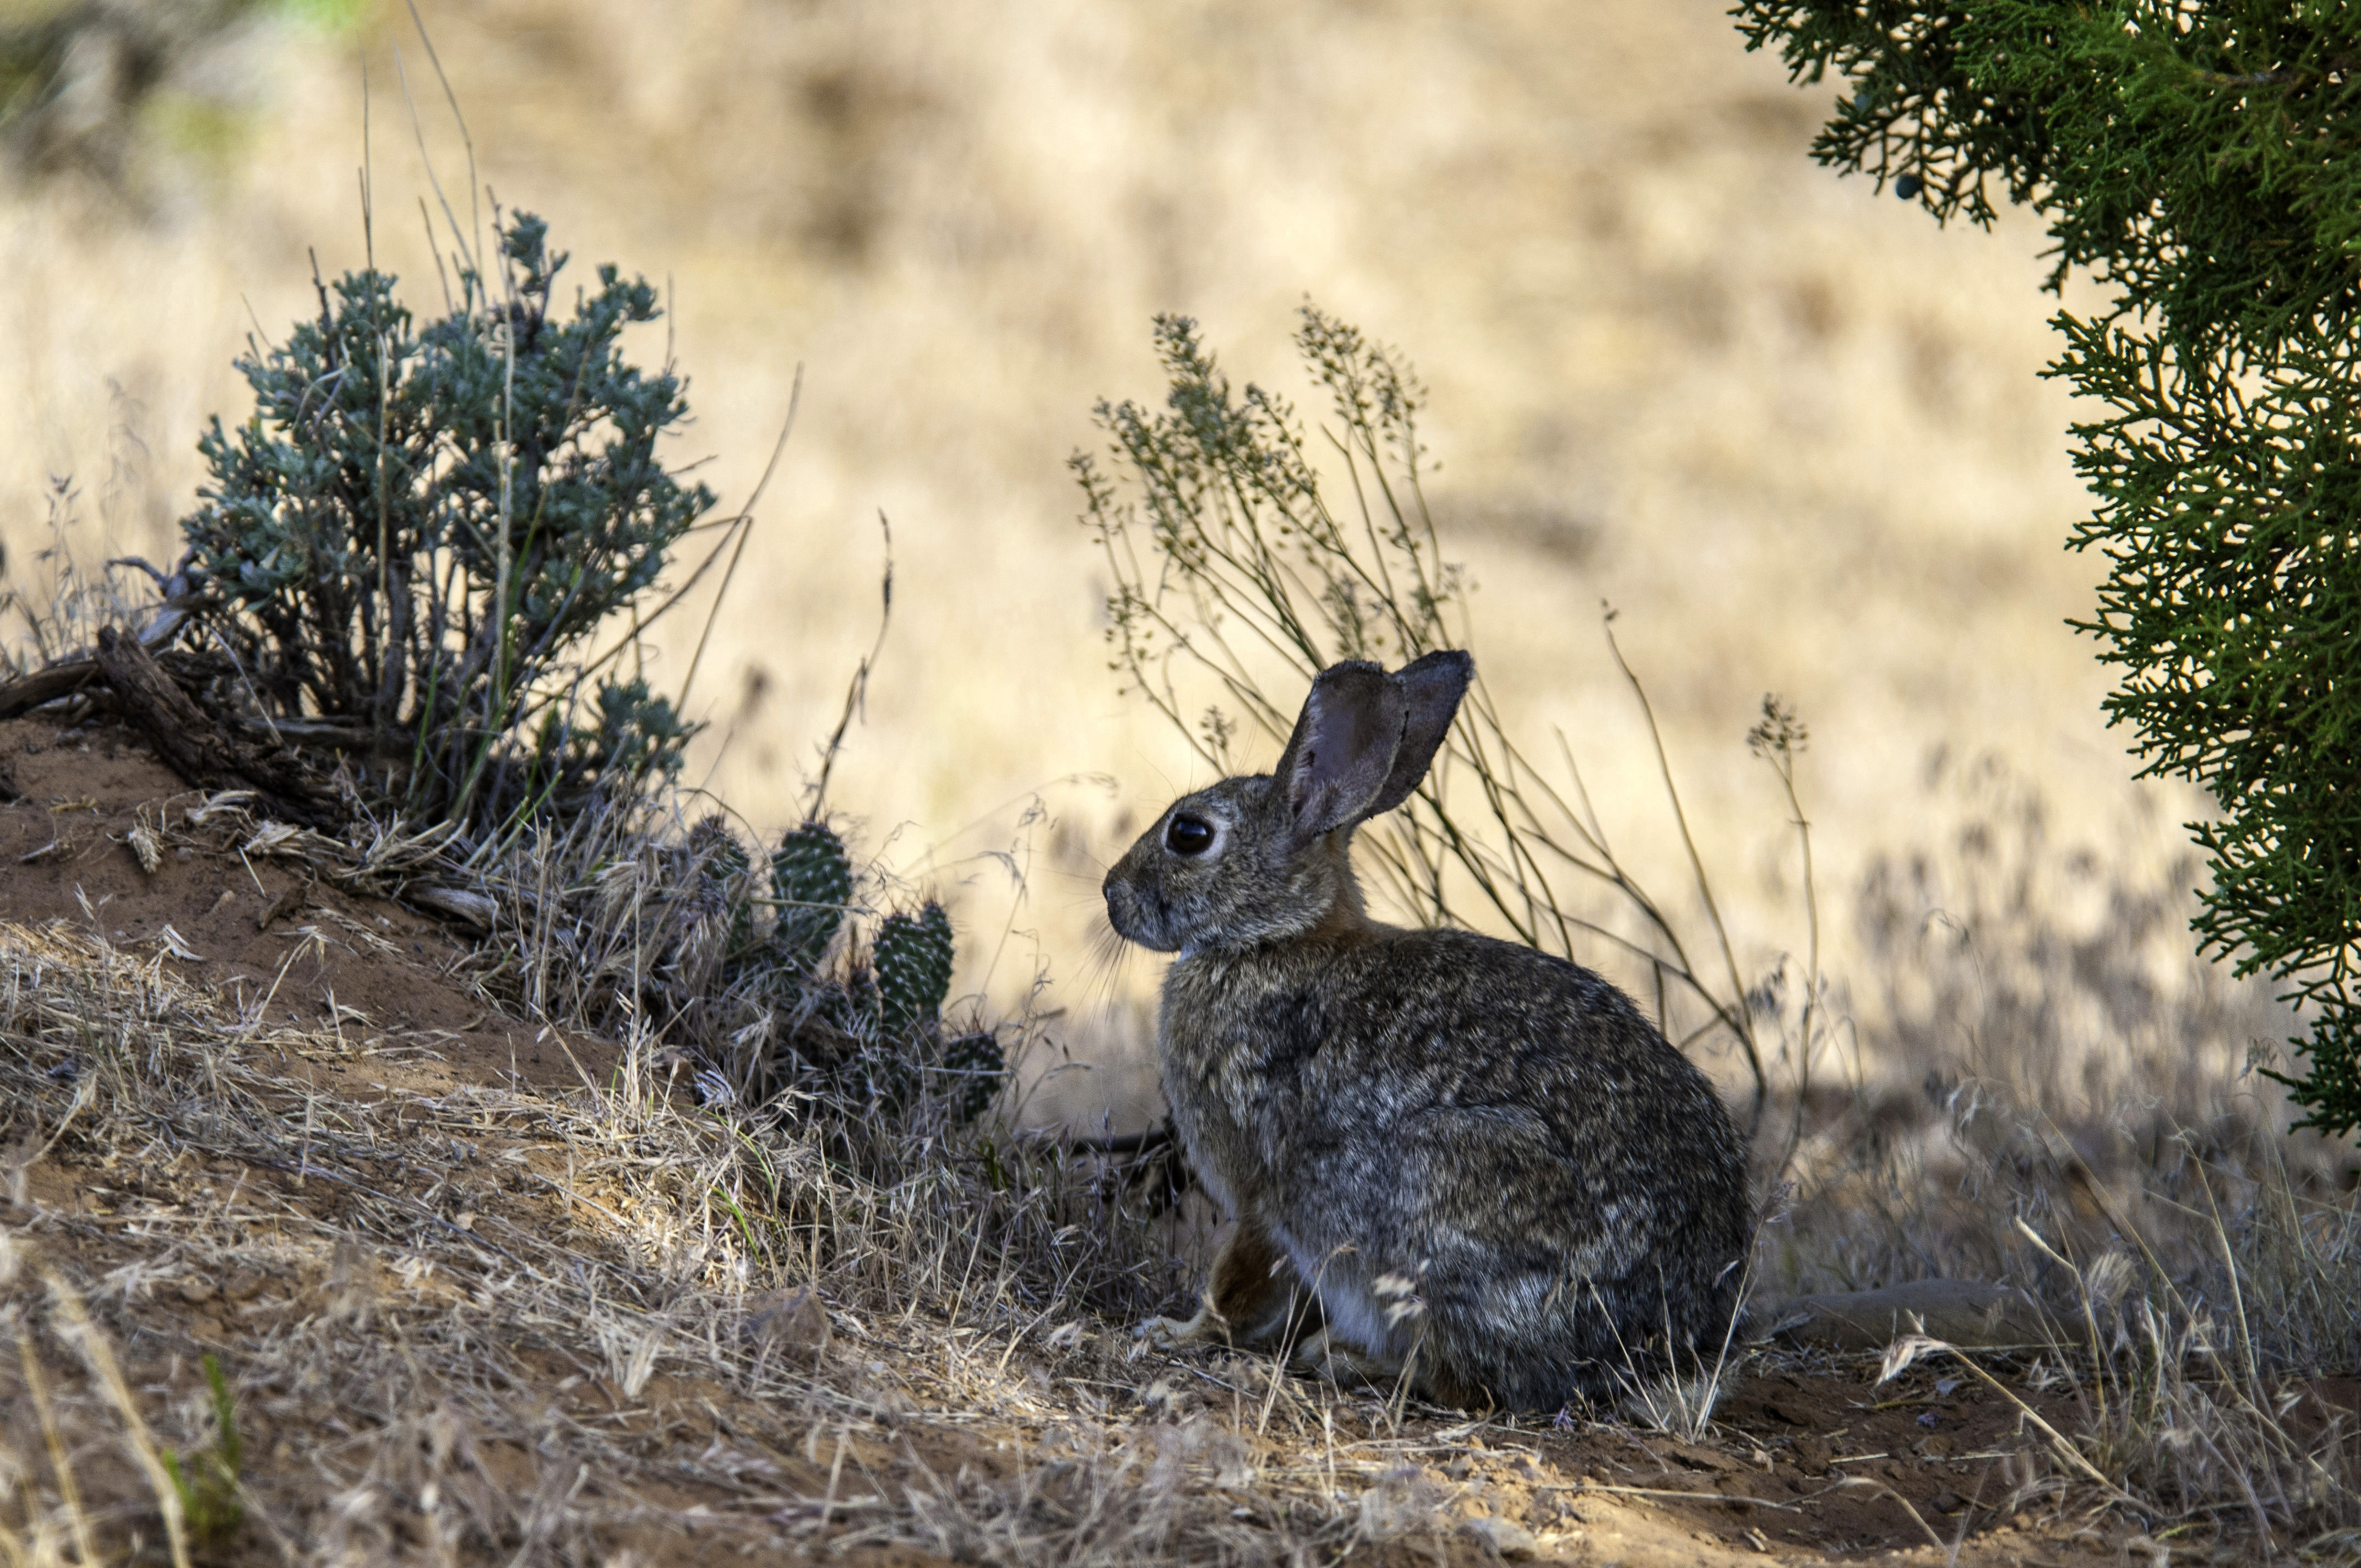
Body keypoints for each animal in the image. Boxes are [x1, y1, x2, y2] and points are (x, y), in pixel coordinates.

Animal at [1102, 650, 1753, 1411]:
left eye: (1190, 834)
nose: (1111, 893)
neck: (1272, 938)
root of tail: (1658, 1343)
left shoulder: (1264, 1189)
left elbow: (1237, 1281)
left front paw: (1176, 1332)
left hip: (1441, 1203)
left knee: (1474, 1379)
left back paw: (1348, 1358)